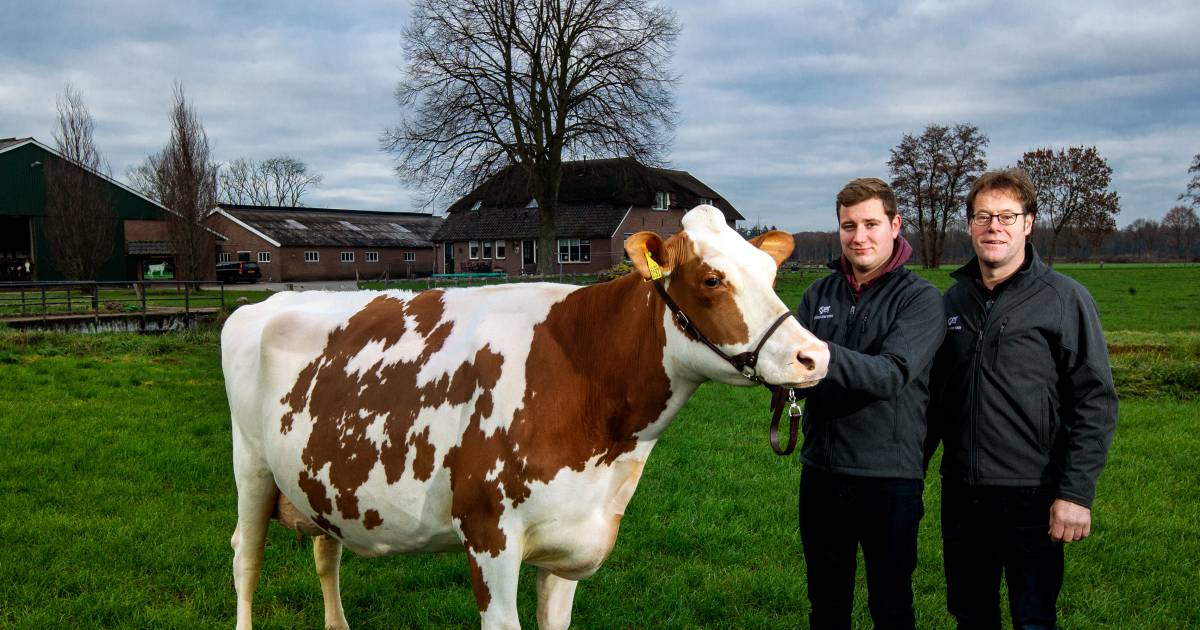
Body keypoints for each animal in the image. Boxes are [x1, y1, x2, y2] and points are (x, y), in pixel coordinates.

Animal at [222, 205, 830, 629]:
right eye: (711, 279)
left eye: (771, 273)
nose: (814, 356)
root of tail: (262, 303)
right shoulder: (488, 536)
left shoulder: (568, 544)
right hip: (251, 469)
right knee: (245, 560)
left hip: (318, 480)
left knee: (326, 554)